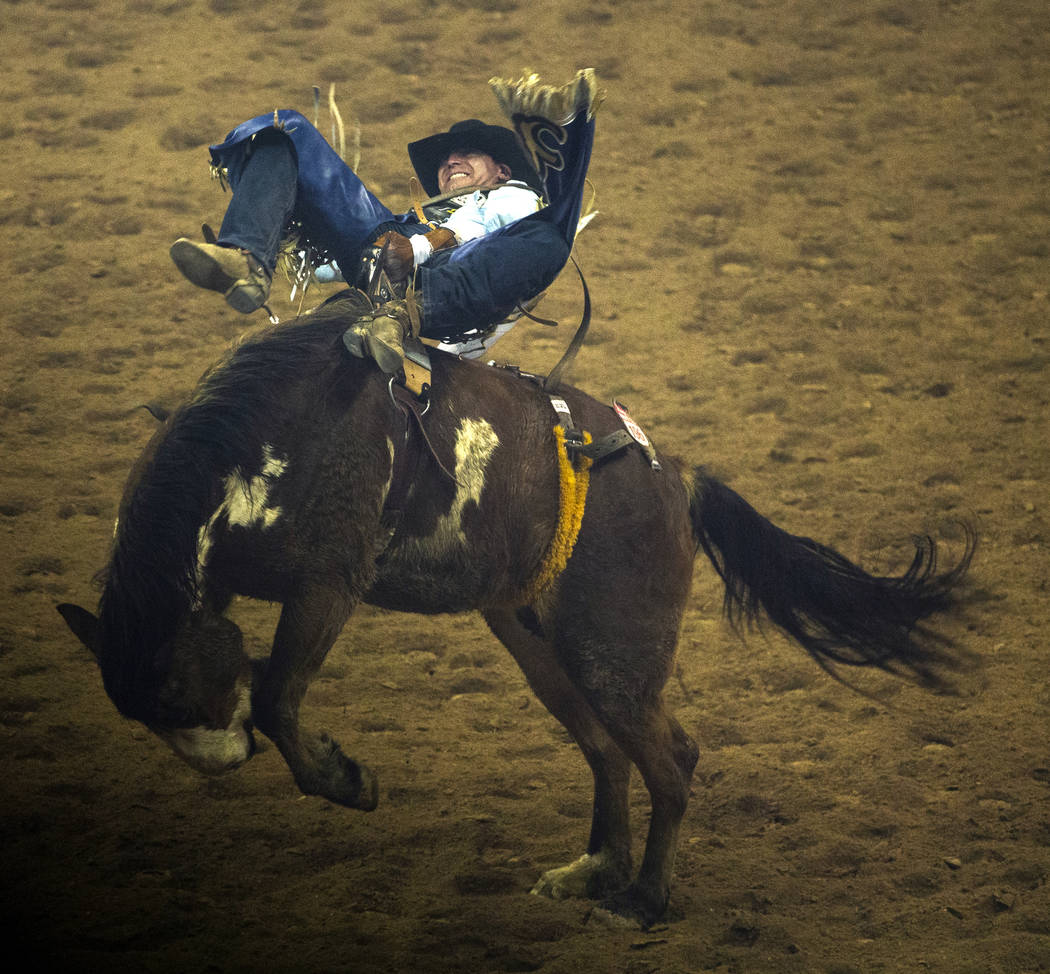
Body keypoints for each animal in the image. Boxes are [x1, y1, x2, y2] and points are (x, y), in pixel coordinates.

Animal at [59, 293, 974, 927]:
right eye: (146, 713)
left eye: (178, 695)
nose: (227, 757)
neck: (259, 445)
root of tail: (677, 480)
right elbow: (268, 683)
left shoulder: (329, 583)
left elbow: (282, 696)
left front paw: (351, 780)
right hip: (539, 644)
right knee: (611, 752)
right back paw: (595, 871)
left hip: (613, 651)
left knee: (671, 759)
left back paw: (643, 900)